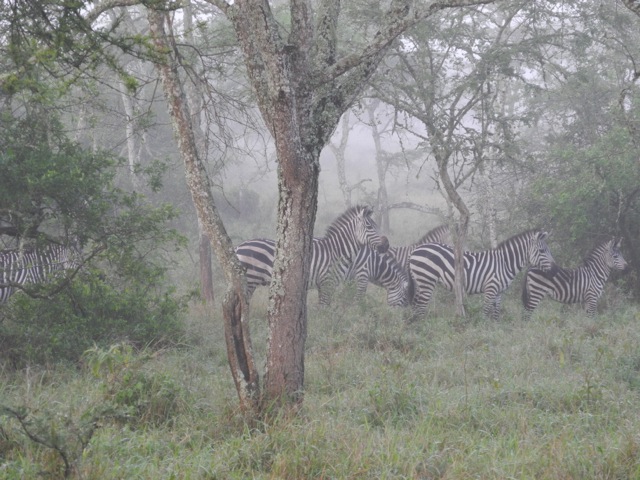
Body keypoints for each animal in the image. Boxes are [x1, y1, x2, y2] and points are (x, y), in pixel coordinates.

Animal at [232, 205, 388, 304]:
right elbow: (324, 310)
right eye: (369, 227)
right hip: (250, 280)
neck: (337, 251)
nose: (386, 245)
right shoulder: (327, 283)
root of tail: (239, 246)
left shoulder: (323, 285)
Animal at [410, 231, 556, 320]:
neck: (504, 263)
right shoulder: (491, 288)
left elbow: (496, 313)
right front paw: (483, 331)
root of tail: (415, 250)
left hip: (420, 282)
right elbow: (486, 312)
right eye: (542, 251)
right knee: (420, 307)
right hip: (426, 280)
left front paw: (495, 331)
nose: (554, 271)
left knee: (416, 305)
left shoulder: (498, 292)